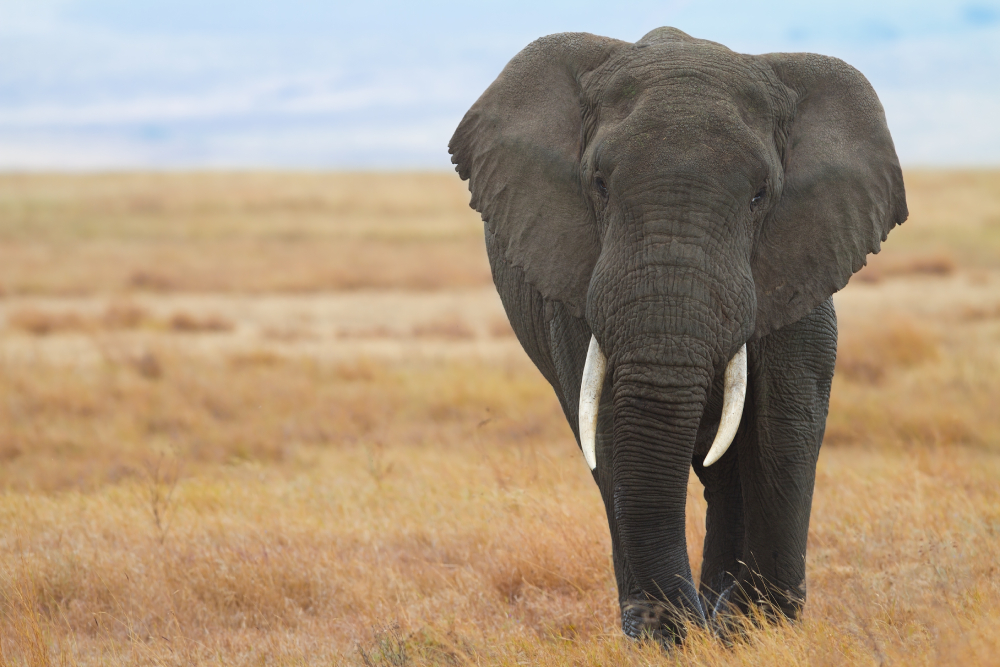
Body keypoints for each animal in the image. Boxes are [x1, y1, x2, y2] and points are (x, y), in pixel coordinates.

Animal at [448, 27, 908, 640]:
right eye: (599, 185)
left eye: (760, 195)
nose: (686, 625)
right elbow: (612, 427)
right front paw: (676, 636)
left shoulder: (804, 255)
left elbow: (788, 417)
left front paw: (757, 627)